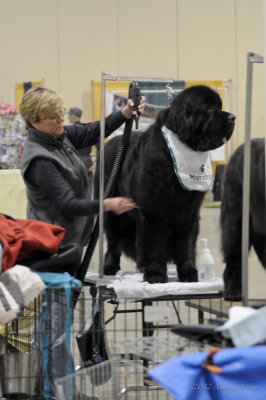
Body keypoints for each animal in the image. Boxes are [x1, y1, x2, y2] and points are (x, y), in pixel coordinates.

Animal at [95, 85, 235, 284]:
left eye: (219, 106)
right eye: (209, 109)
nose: (233, 117)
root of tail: (109, 143)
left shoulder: (188, 211)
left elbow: (185, 243)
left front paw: (188, 271)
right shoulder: (153, 211)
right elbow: (154, 243)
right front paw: (155, 272)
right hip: (112, 209)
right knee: (114, 241)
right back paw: (110, 267)